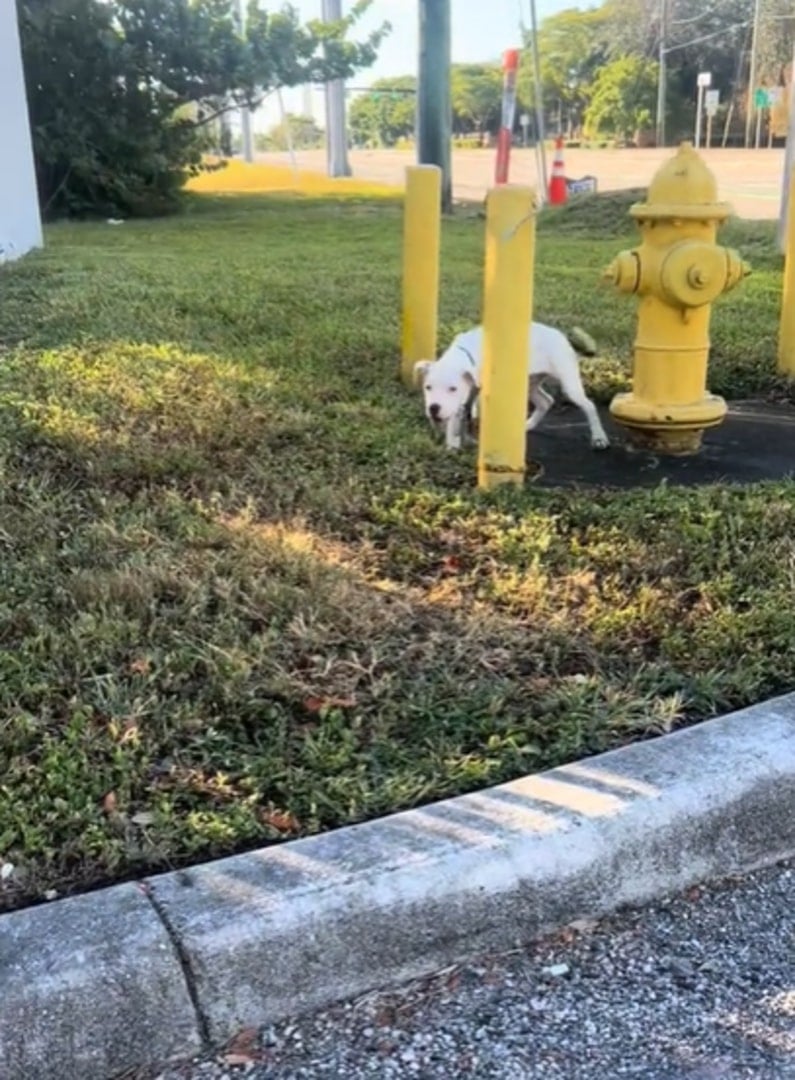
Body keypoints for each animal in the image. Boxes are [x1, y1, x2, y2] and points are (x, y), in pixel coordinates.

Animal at [416, 321, 609, 453]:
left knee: (588, 405)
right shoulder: (463, 398)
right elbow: (457, 417)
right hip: (529, 383)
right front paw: (453, 444)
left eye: (453, 389)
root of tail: (559, 335)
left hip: (569, 382)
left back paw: (599, 438)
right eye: (428, 387)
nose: (433, 408)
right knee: (545, 401)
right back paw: (526, 426)